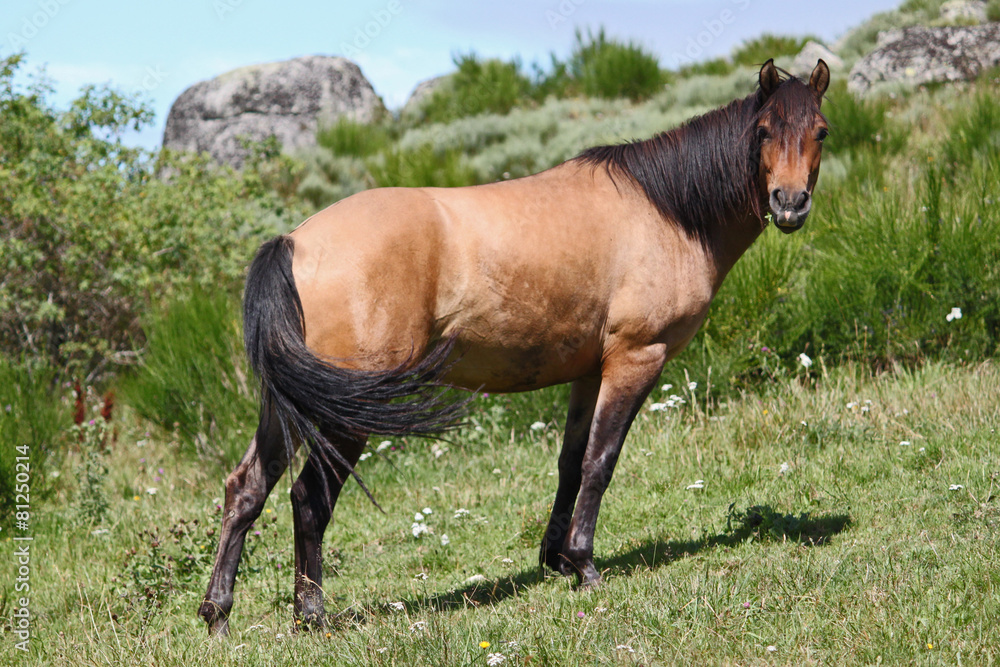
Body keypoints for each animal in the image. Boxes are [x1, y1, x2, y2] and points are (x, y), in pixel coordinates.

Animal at [199, 58, 830, 635]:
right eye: (763, 130)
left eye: (820, 130)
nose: (789, 203)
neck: (664, 210)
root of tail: (294, 242)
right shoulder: (635, 359)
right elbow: (601, 462)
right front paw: (586, 566)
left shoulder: (587, 372)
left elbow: (571, 462)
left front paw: (557, 559)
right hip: (345, 413)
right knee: (309, 499)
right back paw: (311, 616)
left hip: (292, 403)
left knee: (247, 489)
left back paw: (218, 614)